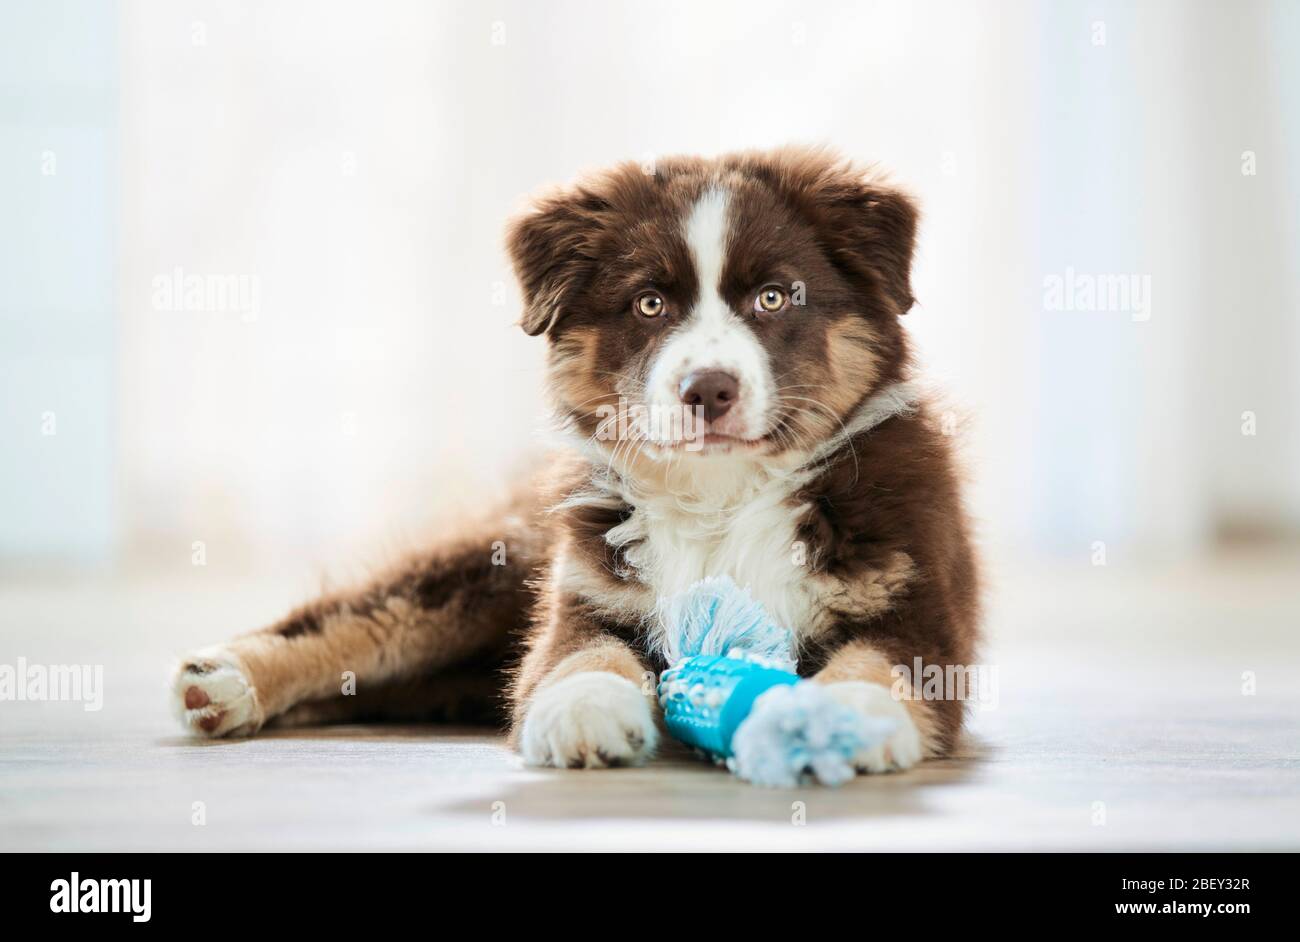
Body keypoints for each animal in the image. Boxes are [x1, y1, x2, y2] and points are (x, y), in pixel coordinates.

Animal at [172, 146, 977, 774]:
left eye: (775, 298)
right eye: (650, 305)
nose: (707, 389)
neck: (722, 496)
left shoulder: (917, 603)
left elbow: (876, 665)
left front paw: (842, 718)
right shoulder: (585, 594)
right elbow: (581, 657)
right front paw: (585, 711)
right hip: (494, 564)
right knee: (362, 621)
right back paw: (224, 680)